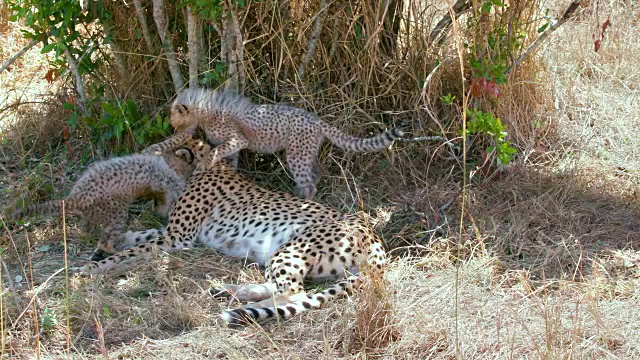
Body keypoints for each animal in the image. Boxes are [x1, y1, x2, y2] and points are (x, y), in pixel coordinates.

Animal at [82, 159, 388, 324]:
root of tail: (374, 237)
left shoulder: (178, 238)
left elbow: (134, 250)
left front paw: (89, 269)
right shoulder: (178, 234)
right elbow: (142, 236)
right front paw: (113, 239)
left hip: (291, 246)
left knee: (294, 294)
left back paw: (242, 309)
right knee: (277, 287)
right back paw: (224, 291)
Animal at [154, 87, 402, 200]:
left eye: (173, 117)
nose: (172, 127)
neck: (205, 111)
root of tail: (316, 119)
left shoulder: (237, 138)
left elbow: (217, 149)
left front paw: (205, 163)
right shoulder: (234, 146)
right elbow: (228, 157)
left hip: (296, 155)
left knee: (309, 182)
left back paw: (305, 201)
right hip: (304, 152)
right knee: (315, 172)